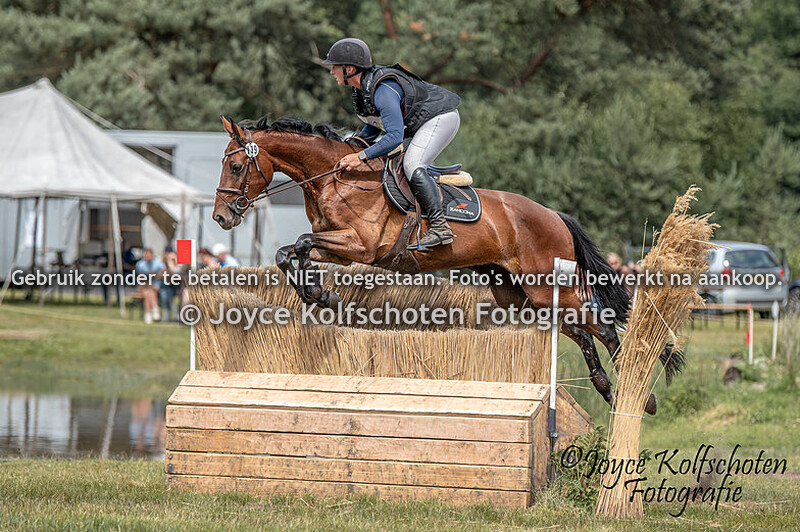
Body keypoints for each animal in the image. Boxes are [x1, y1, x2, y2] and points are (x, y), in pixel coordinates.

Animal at [212, 115, 683, 415]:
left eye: (235, 165)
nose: (220, 218)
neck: (332, 176)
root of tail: (553, 214)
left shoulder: (361, 247)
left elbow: (300, 244)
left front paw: (320, 292)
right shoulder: (340, 247)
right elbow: (290, 251)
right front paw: (317, 292)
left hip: (549, 285)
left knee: (602, 325)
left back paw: (637, 394)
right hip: (520, 294)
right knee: (581, 332)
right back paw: (610, 390)